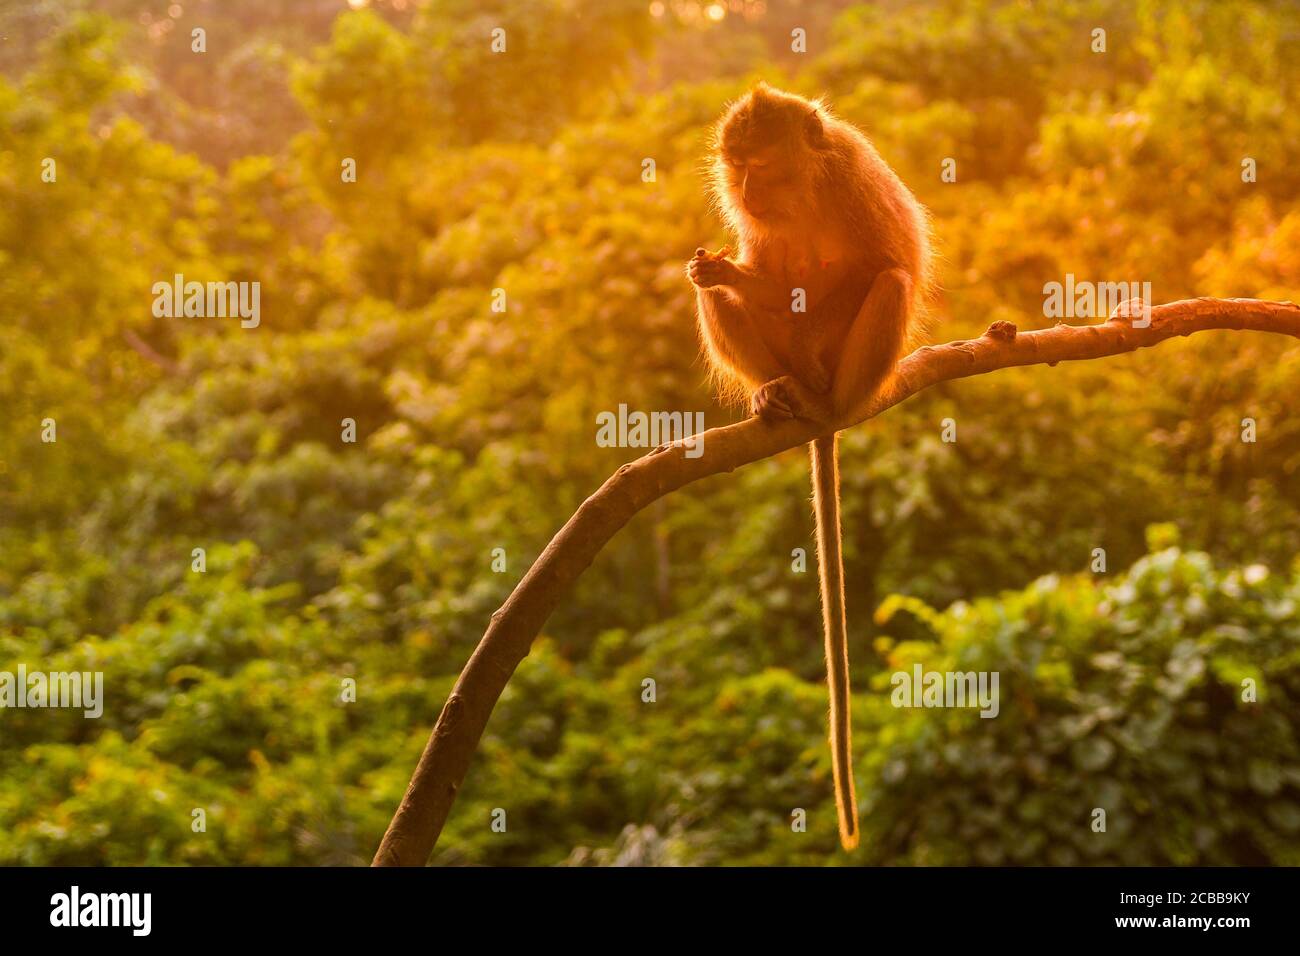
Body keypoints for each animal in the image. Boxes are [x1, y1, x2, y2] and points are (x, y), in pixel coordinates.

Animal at [686, 83, 933, 851]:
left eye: (762, 165)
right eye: (736, 168)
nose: (745, 191)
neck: (802, 192)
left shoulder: (852, 179)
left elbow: (879, 260)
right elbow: (744, 275)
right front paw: (729, 275)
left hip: (863, 371)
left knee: (889, 280)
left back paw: (825, 390)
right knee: (719, 298)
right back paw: (779, 389)